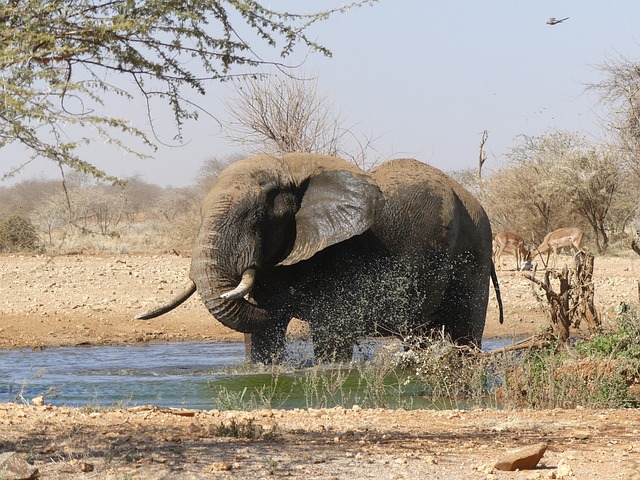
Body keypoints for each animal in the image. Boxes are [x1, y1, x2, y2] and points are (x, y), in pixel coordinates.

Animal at [138, 154, 502, 364]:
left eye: (255, 218)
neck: (291, 169)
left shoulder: (344, 252)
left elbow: (332, 331)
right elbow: (263, 335)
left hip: (475, 250)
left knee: (464, 331)